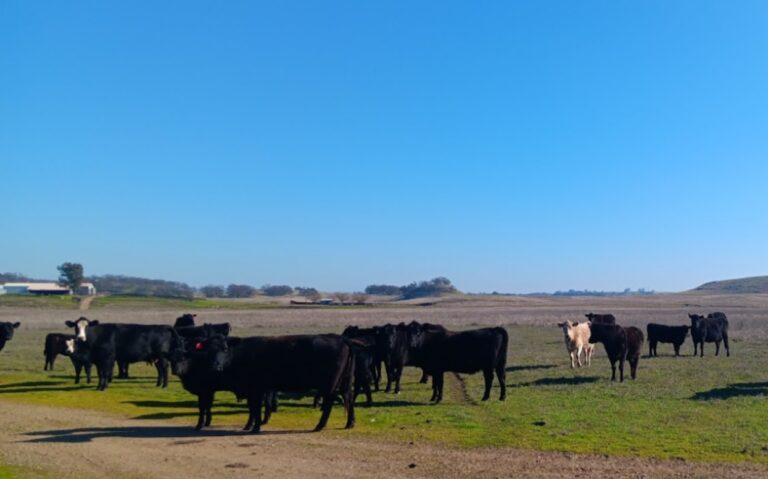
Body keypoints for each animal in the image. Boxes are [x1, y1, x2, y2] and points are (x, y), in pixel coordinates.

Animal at [199, 334, 356, 433]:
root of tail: (341, 338)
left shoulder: (255, 389)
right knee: (349, 398)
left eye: (225, 349)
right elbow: (254, 408)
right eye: (208, 351)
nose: (215, 366)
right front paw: (251, 425)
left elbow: (256, 408)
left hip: (329, 385)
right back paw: (350, 423)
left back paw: (319, 426)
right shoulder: (255, 390)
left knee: (329, 403)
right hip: (345, 382)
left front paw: (255, 427)